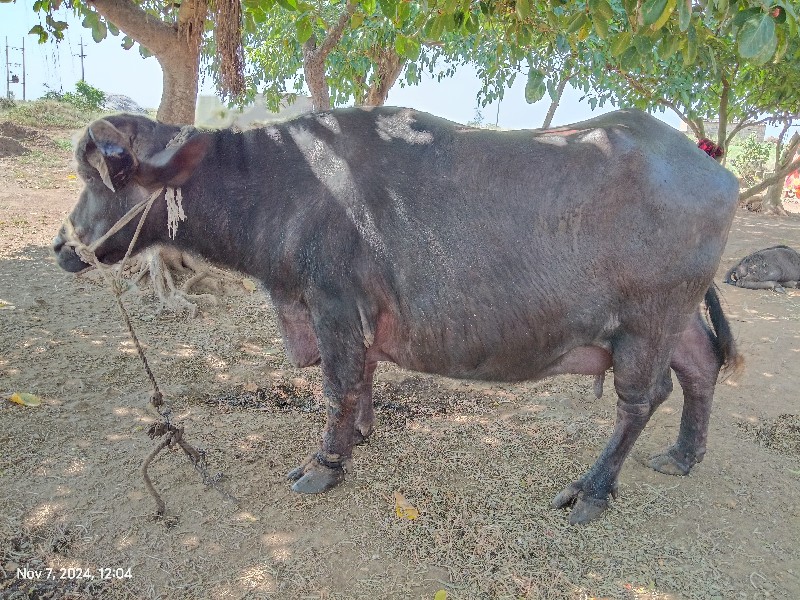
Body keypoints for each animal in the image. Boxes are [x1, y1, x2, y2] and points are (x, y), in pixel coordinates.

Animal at [54, 109, 744, 524]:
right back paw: (683, 454)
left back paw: (591, 491)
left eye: (104, 175)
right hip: (673, 317)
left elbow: (337, 384)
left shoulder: (331, 302)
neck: (285, 187)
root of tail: (718, 171)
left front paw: (323, 465)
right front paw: (358, 434)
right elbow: (364, 376)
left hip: (647, 321)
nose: (63, 246)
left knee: (640, 399)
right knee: (700, 366)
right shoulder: (356, 314)